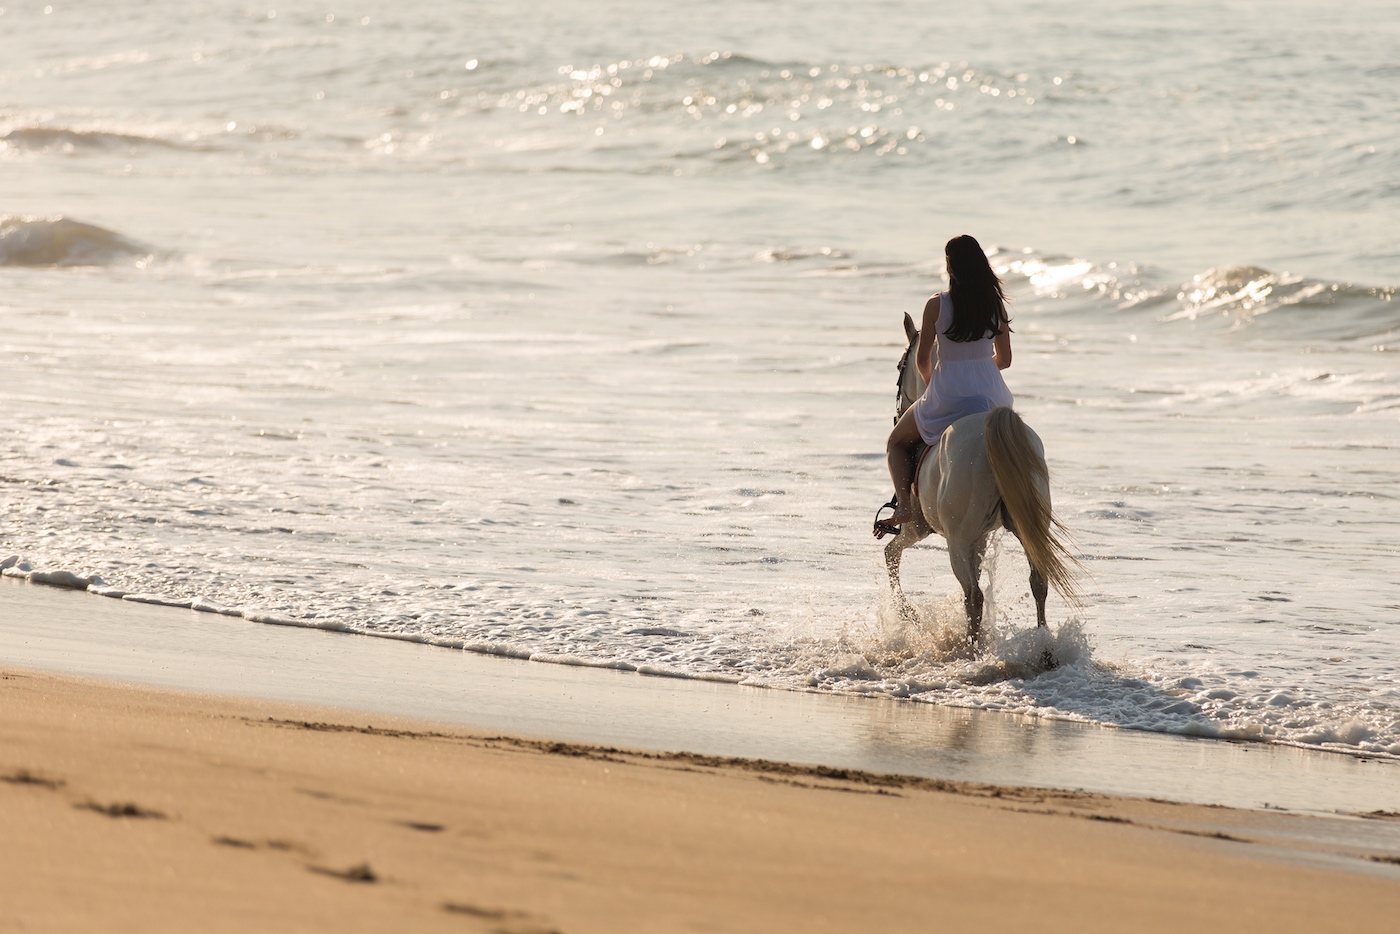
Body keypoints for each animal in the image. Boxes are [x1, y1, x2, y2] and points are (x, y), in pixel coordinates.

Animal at [877, 312, 1080, 644]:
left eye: (898, 368)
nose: (898, 414)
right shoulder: (981, 538)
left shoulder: (917, 528)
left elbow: (890, 554)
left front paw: (910, 615)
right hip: (1025, 529)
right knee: (1038, 581)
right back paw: (1042, 644)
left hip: (956, 543)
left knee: (974, 596)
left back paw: (973, 647)